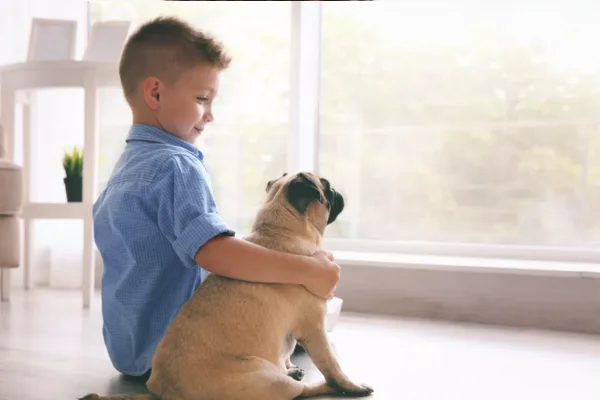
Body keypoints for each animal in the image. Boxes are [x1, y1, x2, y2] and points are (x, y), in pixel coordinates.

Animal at [82, 172, 372, 400]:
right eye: (327, 187)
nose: (336, 190)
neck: (278, 230)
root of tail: (164, 393)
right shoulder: (314, 328)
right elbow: (332, 365)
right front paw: (349, 385)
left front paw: (291, 364)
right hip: (268, 378)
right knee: (301, 391)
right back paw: (331, 387)